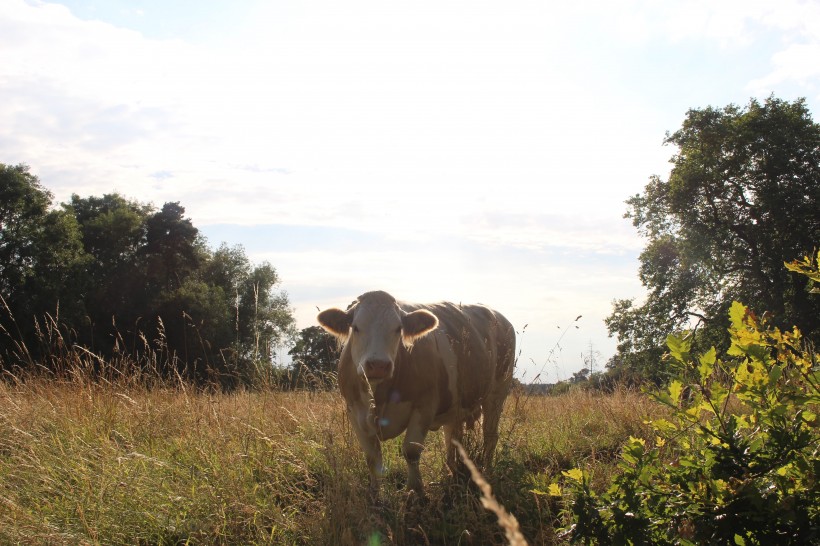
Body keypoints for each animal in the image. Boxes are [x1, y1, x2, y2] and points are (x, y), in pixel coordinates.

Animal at [316, 288, 512, 492]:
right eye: (355, 327)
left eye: (398, 328)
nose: (378, 365)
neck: (378, 397)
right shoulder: (354, 412)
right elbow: (372, 458)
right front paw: (375, 493)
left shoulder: (424, 407)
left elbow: (411, 452)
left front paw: (415, 490)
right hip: (455, 405)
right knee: (453, 437)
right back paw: (450, 474)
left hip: (498, 392)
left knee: (490, 436)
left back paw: (487, 471)